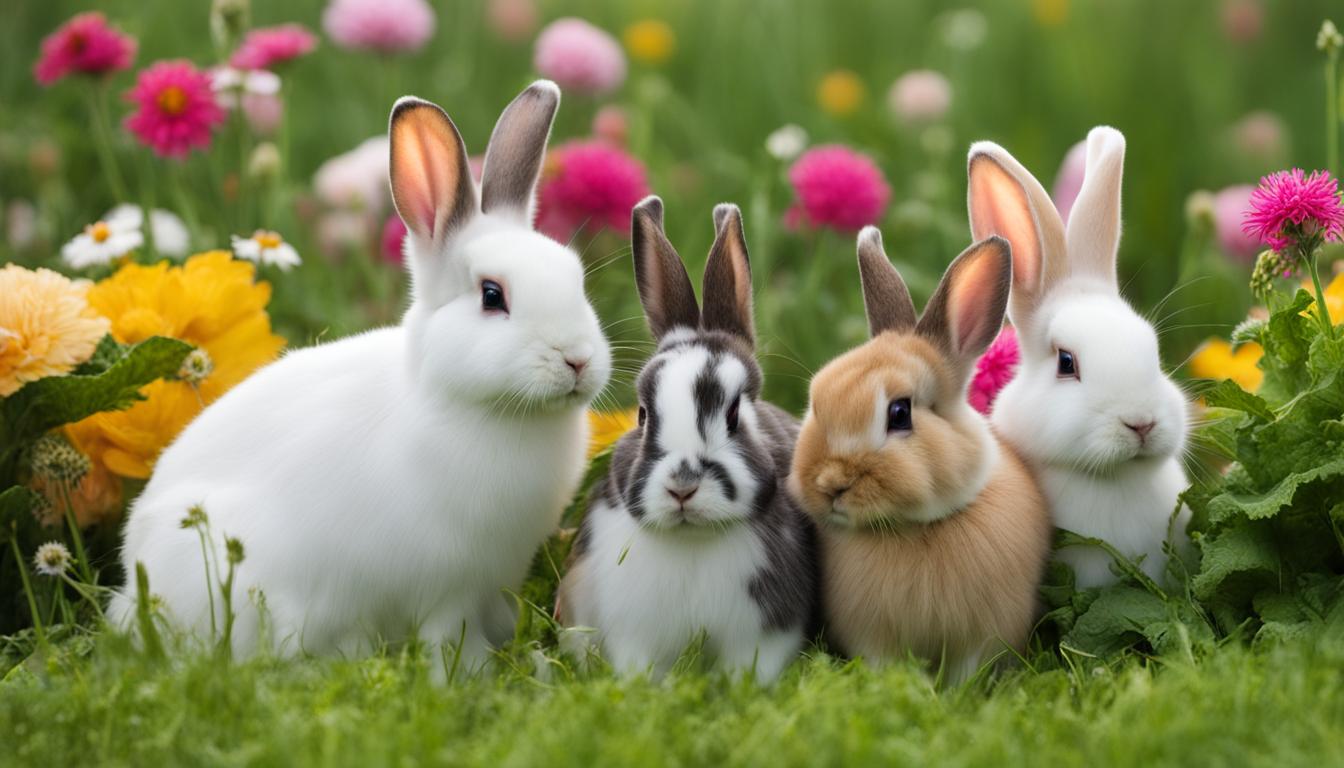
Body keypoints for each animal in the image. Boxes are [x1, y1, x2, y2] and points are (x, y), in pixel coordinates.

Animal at [108, 81, 612, 670]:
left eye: (576, 279)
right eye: (492, 295)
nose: (577, 359)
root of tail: (133, 579)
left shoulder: (492, 580)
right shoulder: (446, 587)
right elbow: (448, 638)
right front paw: (471, 673)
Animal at [555, 197, 817, 683]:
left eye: (734, 415)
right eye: (642, 414)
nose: (682, 488)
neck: (693, 539)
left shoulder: (763, 635)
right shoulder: (634, 633)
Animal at [788, 228, 1052, 684]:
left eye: (899, 413)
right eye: (816, 402)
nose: (830, 484)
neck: (915, 528)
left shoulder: (986, 632)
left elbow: (969, 670)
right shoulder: (872, 635)